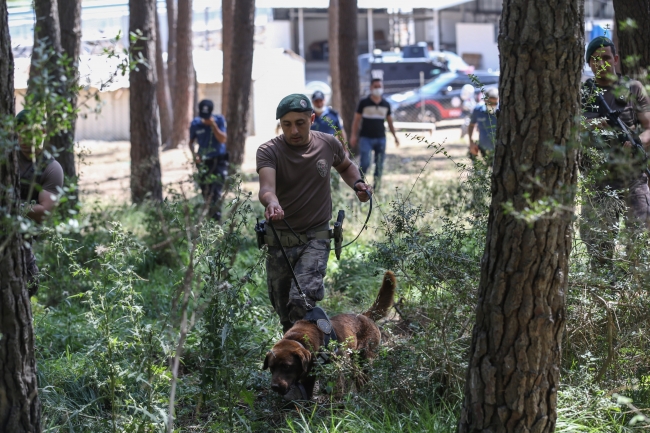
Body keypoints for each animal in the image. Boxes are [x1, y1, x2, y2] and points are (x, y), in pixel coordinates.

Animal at [260, 270, 394, 398]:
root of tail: (364, 316)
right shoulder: (308, 376)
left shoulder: (336, 368)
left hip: (365, 357)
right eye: (271, 367)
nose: (275, 387)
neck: (299, 340)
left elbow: (337, 389)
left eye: (286, 366)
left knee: (364, 377)